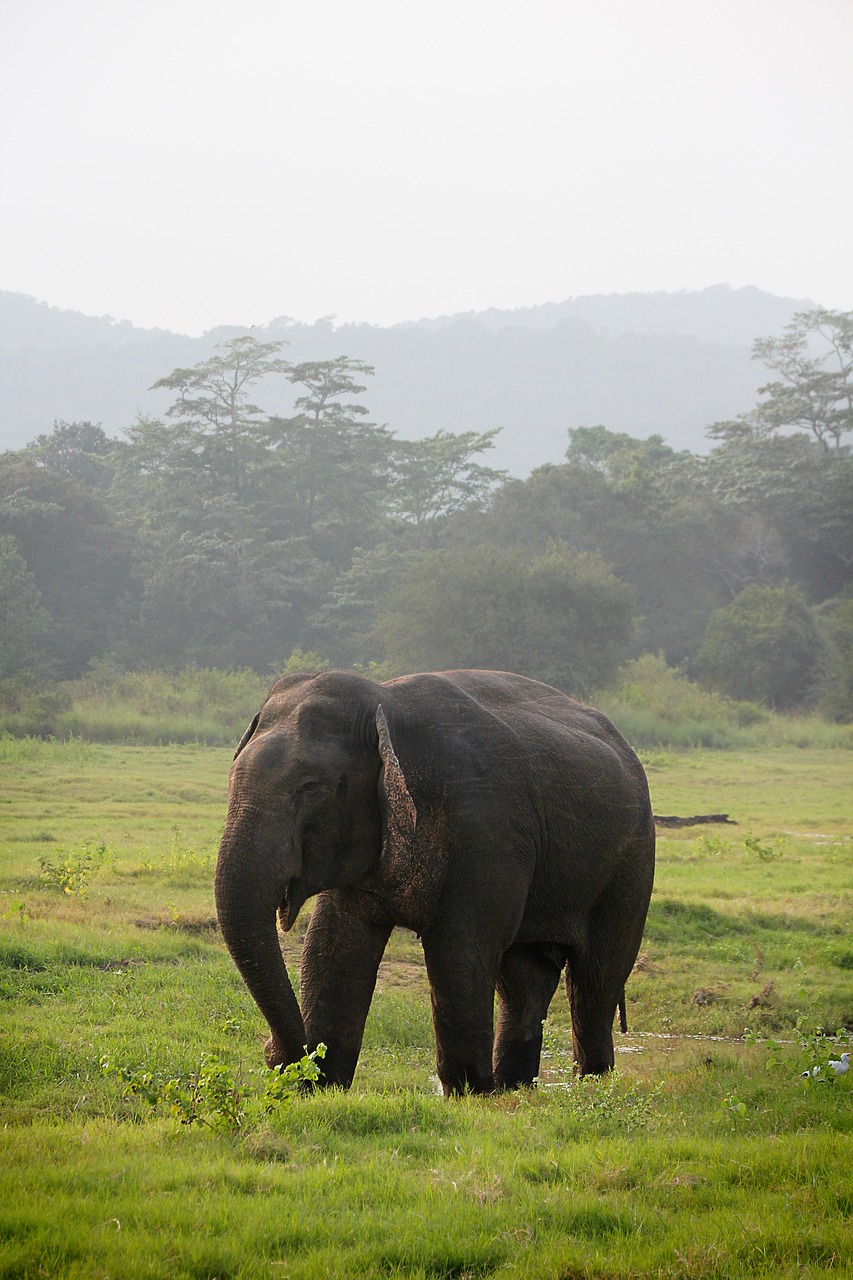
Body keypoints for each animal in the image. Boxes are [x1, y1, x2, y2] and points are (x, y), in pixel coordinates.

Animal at [212, 665, 650, 1095]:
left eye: (310, 787)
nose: (273, 1052)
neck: (385, 702)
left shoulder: (486, 833)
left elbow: (459, 949)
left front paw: (468, 1094)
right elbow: (332, 943)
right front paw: (320, 1087)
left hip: (631, 864)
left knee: (595, 980)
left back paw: (590, 1087)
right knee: (524, 981)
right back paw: (514, 1089)